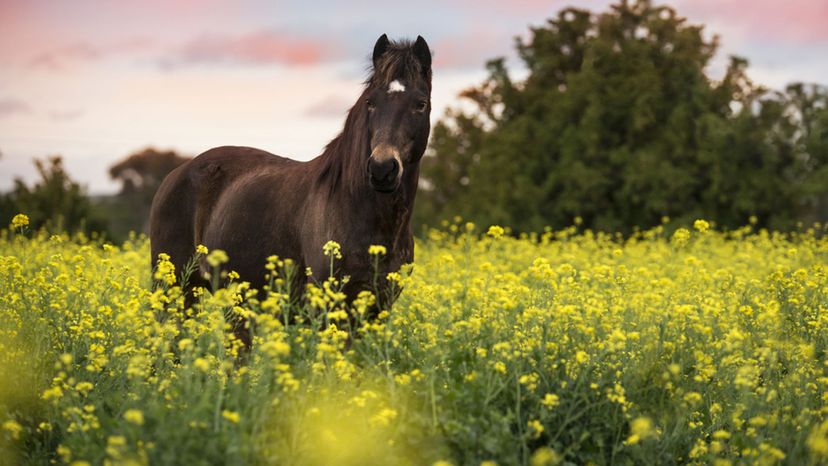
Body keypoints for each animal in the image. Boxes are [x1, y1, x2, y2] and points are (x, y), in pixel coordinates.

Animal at [149, 33, 434, 328]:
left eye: (420, 104)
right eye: (370, 102)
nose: (381, 169)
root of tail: (176, 174)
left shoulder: (379, 308)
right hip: (175, 289)